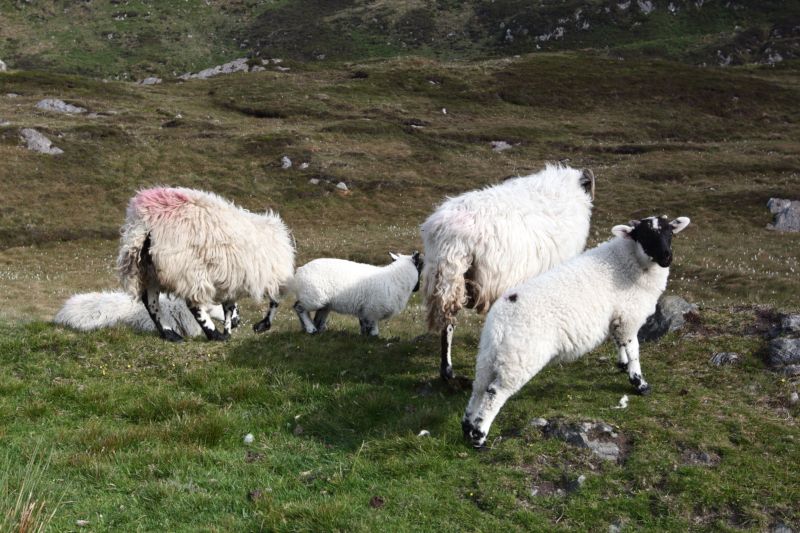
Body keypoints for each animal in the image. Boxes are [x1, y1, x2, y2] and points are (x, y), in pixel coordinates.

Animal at [115, 186, 294, 340]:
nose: (238, 323)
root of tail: (145, 221)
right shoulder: (272, 275)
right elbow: (272, 301)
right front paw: (261, 325)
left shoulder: (232, 279)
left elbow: (229, 306)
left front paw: (229, 331)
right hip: (188, 267)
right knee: (194, 304)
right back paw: (214, 334)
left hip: (149, 268)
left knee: (150, 301)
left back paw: (170, 334)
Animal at [290, 251, 424, 334]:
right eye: (421, 266)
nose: (418, 288)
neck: (395, 277)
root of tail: (299, 271)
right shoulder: (373, 309)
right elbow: (374, 327)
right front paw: (374, 336)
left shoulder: (364, 310)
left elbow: (364, 325)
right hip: (313, 297)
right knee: (299, 308)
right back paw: (310, 328)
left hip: (323, 302)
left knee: (318, 317)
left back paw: (316, 329)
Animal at [460, 214, 692, 446]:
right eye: (644, 235)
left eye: (669, 232)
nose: (667, 257)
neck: (630, 262)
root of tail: (500, 319)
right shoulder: (629, 317)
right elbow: (633, 349)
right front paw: (639, 383)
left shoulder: (616, 317)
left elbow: (618, 342)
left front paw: (622, 364)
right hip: (519, 357)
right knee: (494, 393)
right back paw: (479, 437)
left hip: (490, 354)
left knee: (479, 387)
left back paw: (467, 426)